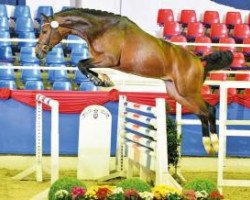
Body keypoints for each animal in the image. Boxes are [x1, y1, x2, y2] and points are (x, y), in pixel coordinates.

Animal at [35, 8, 232, 155]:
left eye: (44, 31)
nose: (38, 53)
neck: (101, 29)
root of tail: (199, 60)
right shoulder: (101, 59)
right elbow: (83, 65)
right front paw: (104, 80)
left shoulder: (109, 59)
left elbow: (81, 64)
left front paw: (101, 81)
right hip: (178, 94)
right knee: (202, 113)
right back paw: (208, 145)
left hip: (187, 91)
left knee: (209, 110)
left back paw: (214, 143)